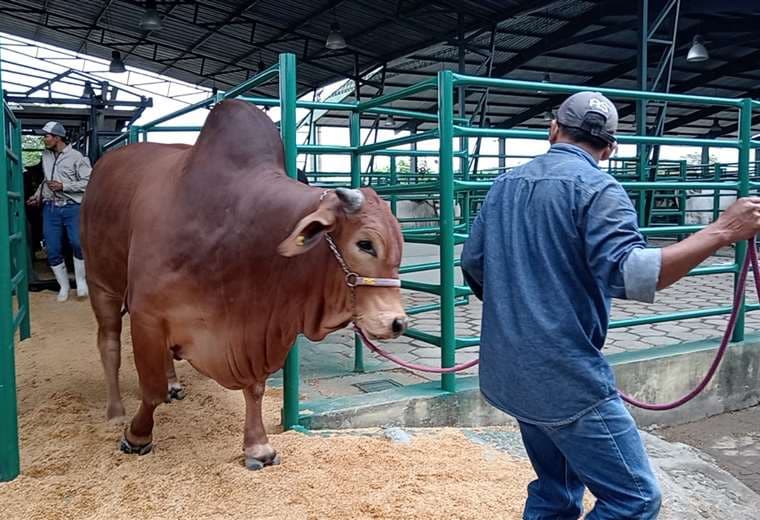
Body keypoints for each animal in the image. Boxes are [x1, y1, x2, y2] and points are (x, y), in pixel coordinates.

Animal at [80, 99, 406, 470]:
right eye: (366, 244)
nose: (398, 322)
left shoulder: (258, 329)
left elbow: (255, 389)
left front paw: (258, 447)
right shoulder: (146, 314)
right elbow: (150, 389)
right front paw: (137, 435)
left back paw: (173, 385)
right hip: (101, 284)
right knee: (109, 345)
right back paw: (115, 411)